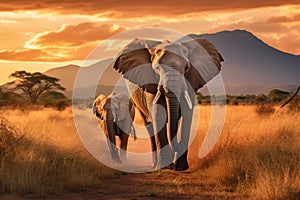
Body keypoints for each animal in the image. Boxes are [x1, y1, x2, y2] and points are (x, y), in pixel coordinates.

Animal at [112, 34, 223, 170]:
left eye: (187, 68)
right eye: (157, 68)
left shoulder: (191, 81)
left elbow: (187, 114)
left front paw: (181, 168)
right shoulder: (150, 83)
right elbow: (158, 112)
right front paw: (166, 167)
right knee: (149, 124)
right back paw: (155, 164)